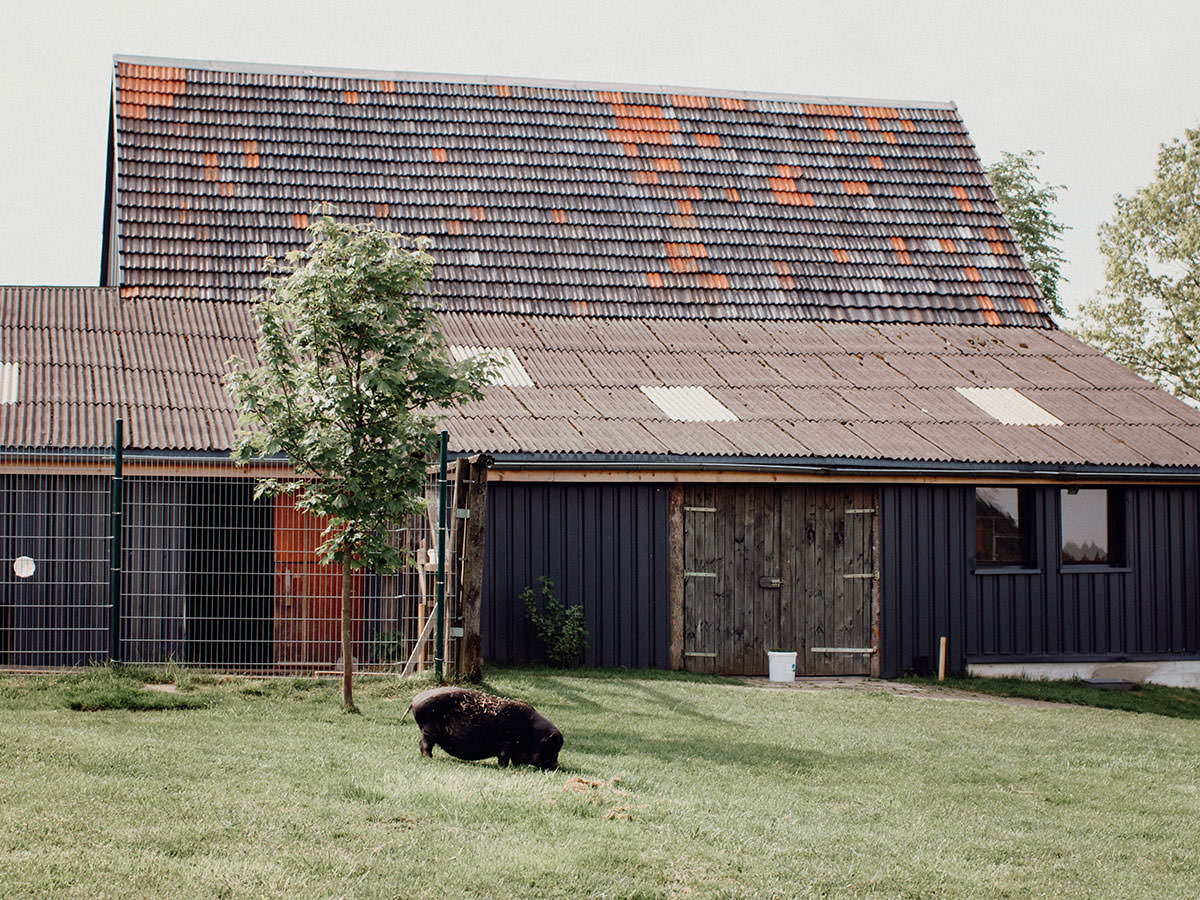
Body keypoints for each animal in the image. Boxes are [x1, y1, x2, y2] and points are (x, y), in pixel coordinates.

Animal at [403, 686, 561, 772]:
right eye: (552, 749)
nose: (558, 766)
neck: (531, 734)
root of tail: (414, 700)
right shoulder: (506, 744)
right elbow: (503, 757)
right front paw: (504, 768)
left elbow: (515, 760)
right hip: (429, 731)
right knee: (424, 744)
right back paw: (430, 758)